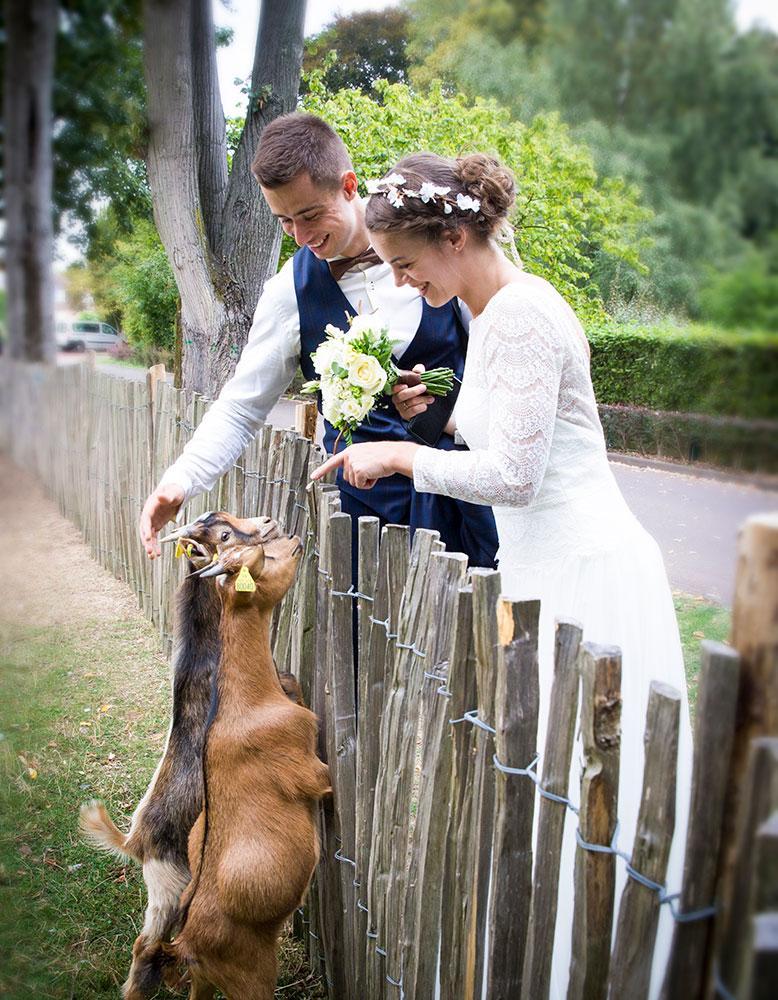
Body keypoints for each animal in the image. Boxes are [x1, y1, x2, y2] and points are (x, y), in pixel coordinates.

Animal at [79, 512, 284, 996]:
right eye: (225, 535)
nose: (268, 521)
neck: (205, 648)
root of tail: (135, 841)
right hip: (173, 887)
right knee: (149, 945)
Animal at [167, 536, 330, 996]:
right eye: (265, 556)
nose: (295, 540)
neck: (253, 699)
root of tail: (187, 943)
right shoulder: (310, 767)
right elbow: (324, 780)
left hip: (204, 981)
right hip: (252, 975)